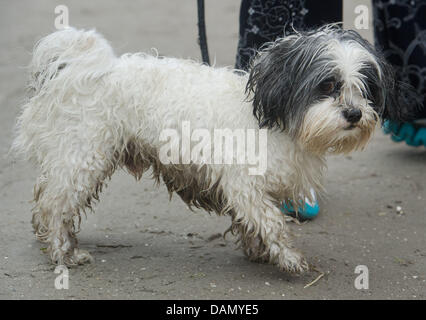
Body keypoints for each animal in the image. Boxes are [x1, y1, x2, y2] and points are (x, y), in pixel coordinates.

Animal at [10, 25, 410, 272]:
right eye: (328, 85)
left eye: (364, 88)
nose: (354, 114)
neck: (272, 119)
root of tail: (81, 72)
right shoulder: (244, 184)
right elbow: (270, 220)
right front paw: (288, 257)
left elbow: (254, 222)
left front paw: (258, 251)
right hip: (83, 159)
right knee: (54, 206)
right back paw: (62, 252)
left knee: (46, 196)